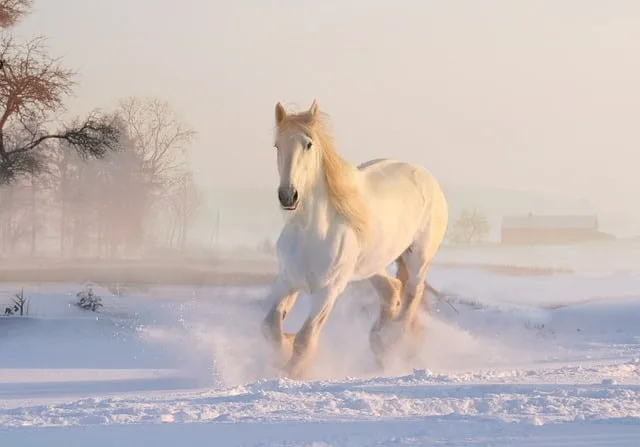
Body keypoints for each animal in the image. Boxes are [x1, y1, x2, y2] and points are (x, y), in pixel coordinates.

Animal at [261, 100, 449, 379]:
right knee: (392, 290)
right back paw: (379, 342)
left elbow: (305, 341)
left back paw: (392, 343)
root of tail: (426, 176)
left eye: (308, 144)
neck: (310, 233)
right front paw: (283, 349)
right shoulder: (287, 281)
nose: (288, 195)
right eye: (277, 145)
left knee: (411, 297)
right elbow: (271, 328)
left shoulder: (327, 292)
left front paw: (291, 373)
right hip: (372, 265)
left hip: (419, 259)